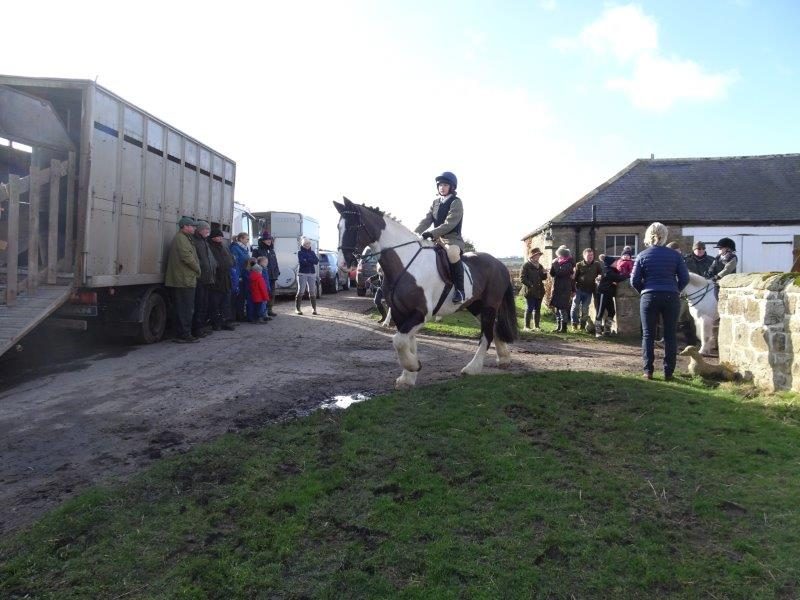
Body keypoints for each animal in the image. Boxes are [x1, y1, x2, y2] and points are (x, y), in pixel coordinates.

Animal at [334, 197, 518, 389]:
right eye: (338, 227)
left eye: (353, 226)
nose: (343, 264)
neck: (406, 262)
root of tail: (499, 263)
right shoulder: (400, 313)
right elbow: (408, 342)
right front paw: (408, 377)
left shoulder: (421, 313)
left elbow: (399, 341)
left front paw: (413, 366)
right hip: (475, 305)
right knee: (493, 328)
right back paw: (504, 359)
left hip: (489, 305)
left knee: (486, 335)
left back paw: (472, 368)